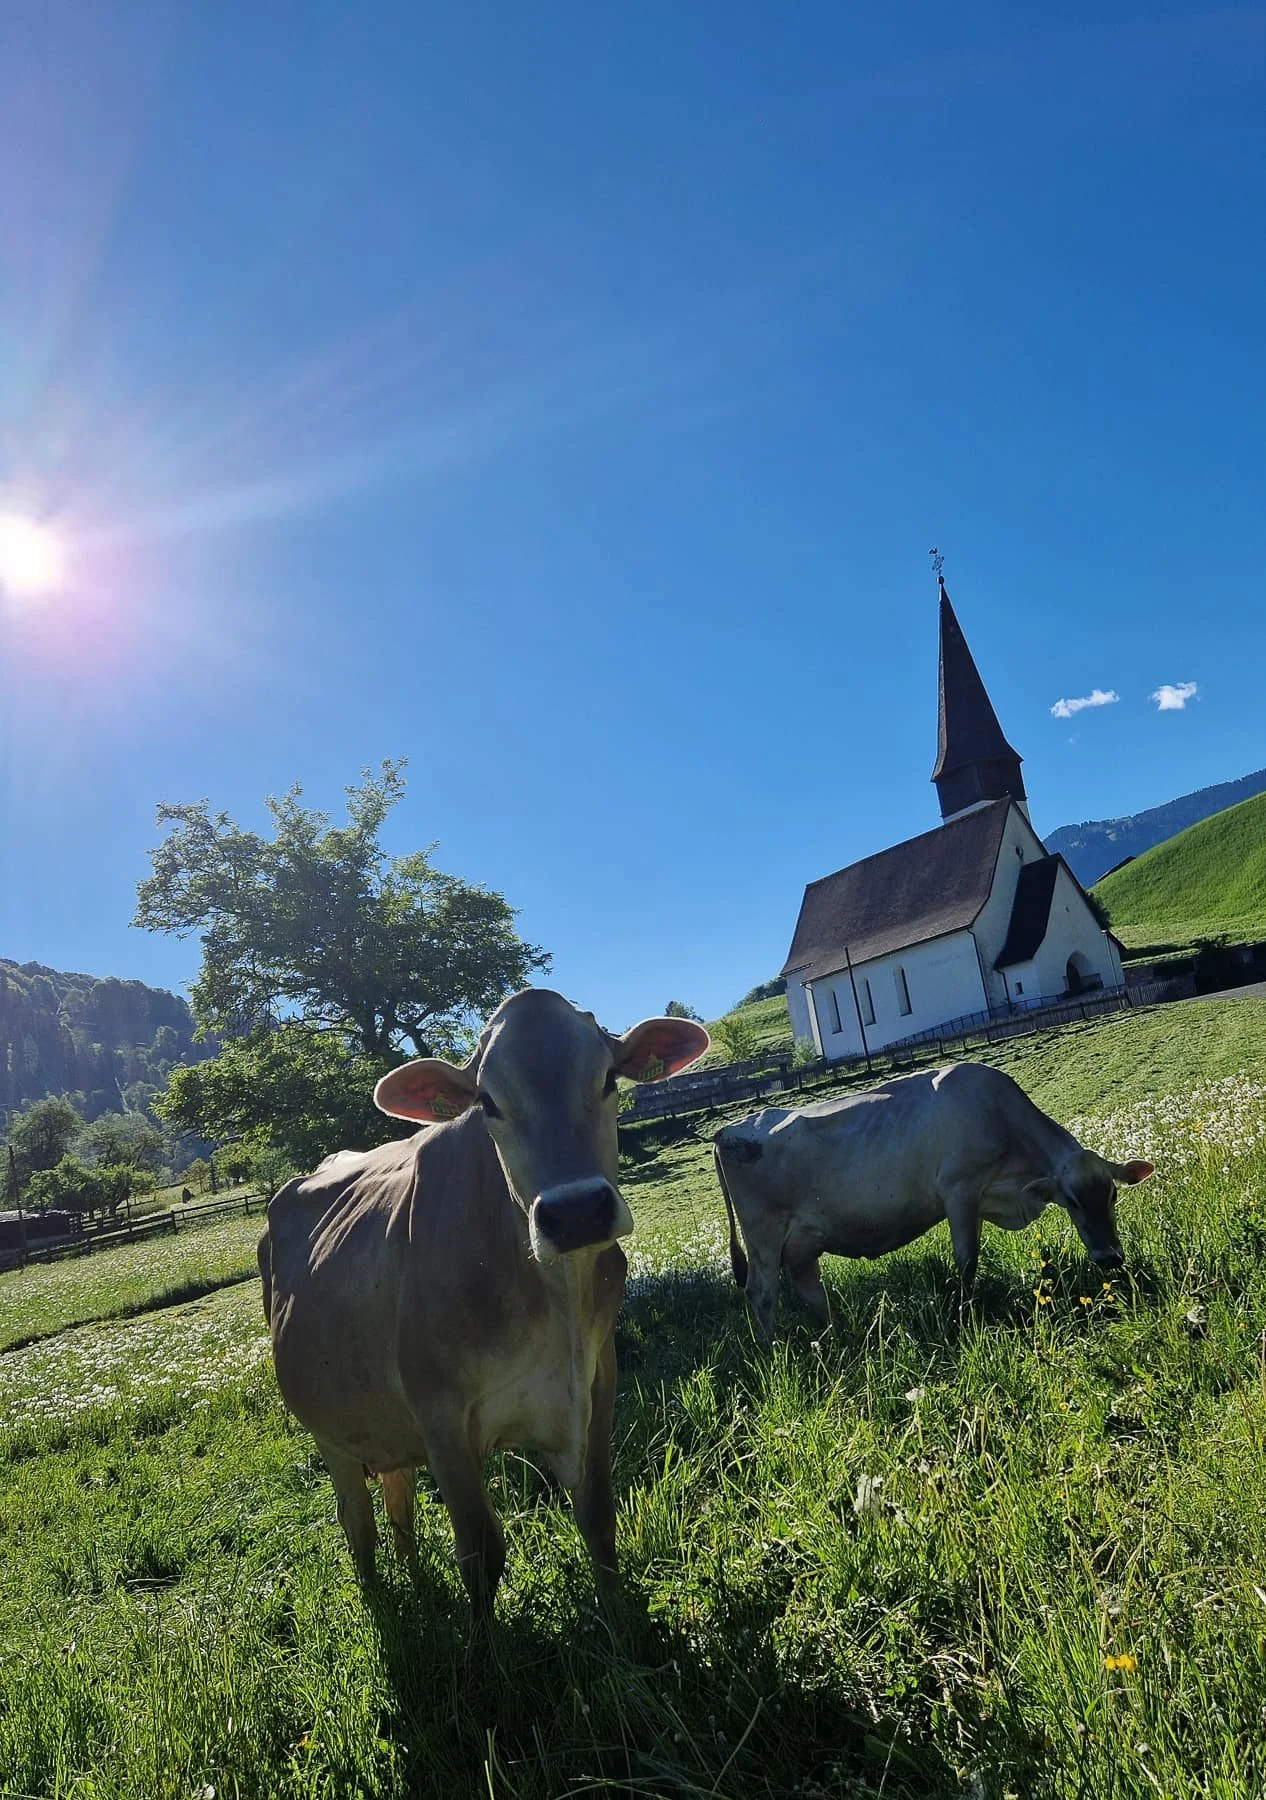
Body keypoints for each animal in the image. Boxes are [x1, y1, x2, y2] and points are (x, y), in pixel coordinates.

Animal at [258, 988, 708, 1628]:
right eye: (488, 1103)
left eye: (607, 1079)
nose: (575, 1212)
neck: (557, 1299)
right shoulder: (442, 1418)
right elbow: (480, 1552)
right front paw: (481, 1650)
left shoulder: (597, 1384)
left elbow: (598, 1518)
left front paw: (623, 1625)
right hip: (329, 1431)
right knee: (358, 1526)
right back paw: (384, 1608)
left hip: (383, 1425)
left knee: (398, 1508)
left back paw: (415, 1579)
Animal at [712, 1061, 1153, 1339]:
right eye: (1073, 1201)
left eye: (1112, 1195)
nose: (1110, 1257)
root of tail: (728, 1130)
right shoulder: (959, 1190)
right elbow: (967, 1258)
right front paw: (964, 1312)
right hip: (764, 1236)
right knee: (761, 1294)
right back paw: (773, 1350)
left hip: (803, 1242)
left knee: (809, 1288)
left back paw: (836, 1336)